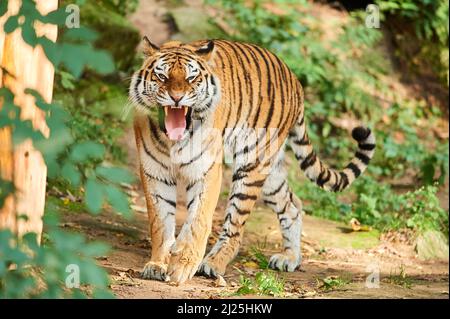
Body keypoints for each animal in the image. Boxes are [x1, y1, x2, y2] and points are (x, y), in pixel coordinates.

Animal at [129, 37, 376, 284]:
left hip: (252, 167)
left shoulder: (207, 172)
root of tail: (294, 79)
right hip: (270, 175)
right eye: (162, 76)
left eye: (191, 78)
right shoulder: (154, 172)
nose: (177, 98)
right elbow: (160, 223)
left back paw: (213, 264)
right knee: (292, 205)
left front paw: (182, 265)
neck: (173, 140)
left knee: (235, 226)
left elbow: (198, 220)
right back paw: (290, 258)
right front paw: (158, 264)